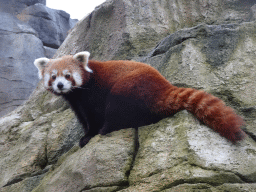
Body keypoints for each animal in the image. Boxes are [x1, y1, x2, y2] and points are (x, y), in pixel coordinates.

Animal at [34, 51, 246, 147]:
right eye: (53, 77)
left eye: (68, 75)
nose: (60, 85)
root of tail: (163, 85)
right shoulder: (76, 102)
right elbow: (84, 118)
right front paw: (85, 133)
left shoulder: (93, 93)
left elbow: (94, 118)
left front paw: (88, 136)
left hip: (129, 87)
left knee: (117, 110)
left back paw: (106, 129)